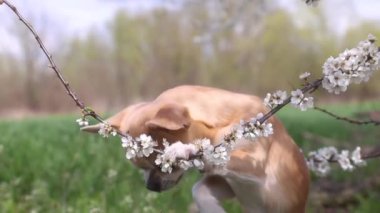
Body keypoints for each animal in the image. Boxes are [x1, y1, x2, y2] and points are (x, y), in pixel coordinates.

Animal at [81, 85, 308, 213]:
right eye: (142, 168)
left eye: (165, 165)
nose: (150, 187)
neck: (220, 127)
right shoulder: (229, 183)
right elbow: (199, 190)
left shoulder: (254, 165)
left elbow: (217, 156)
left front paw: (185, 149)